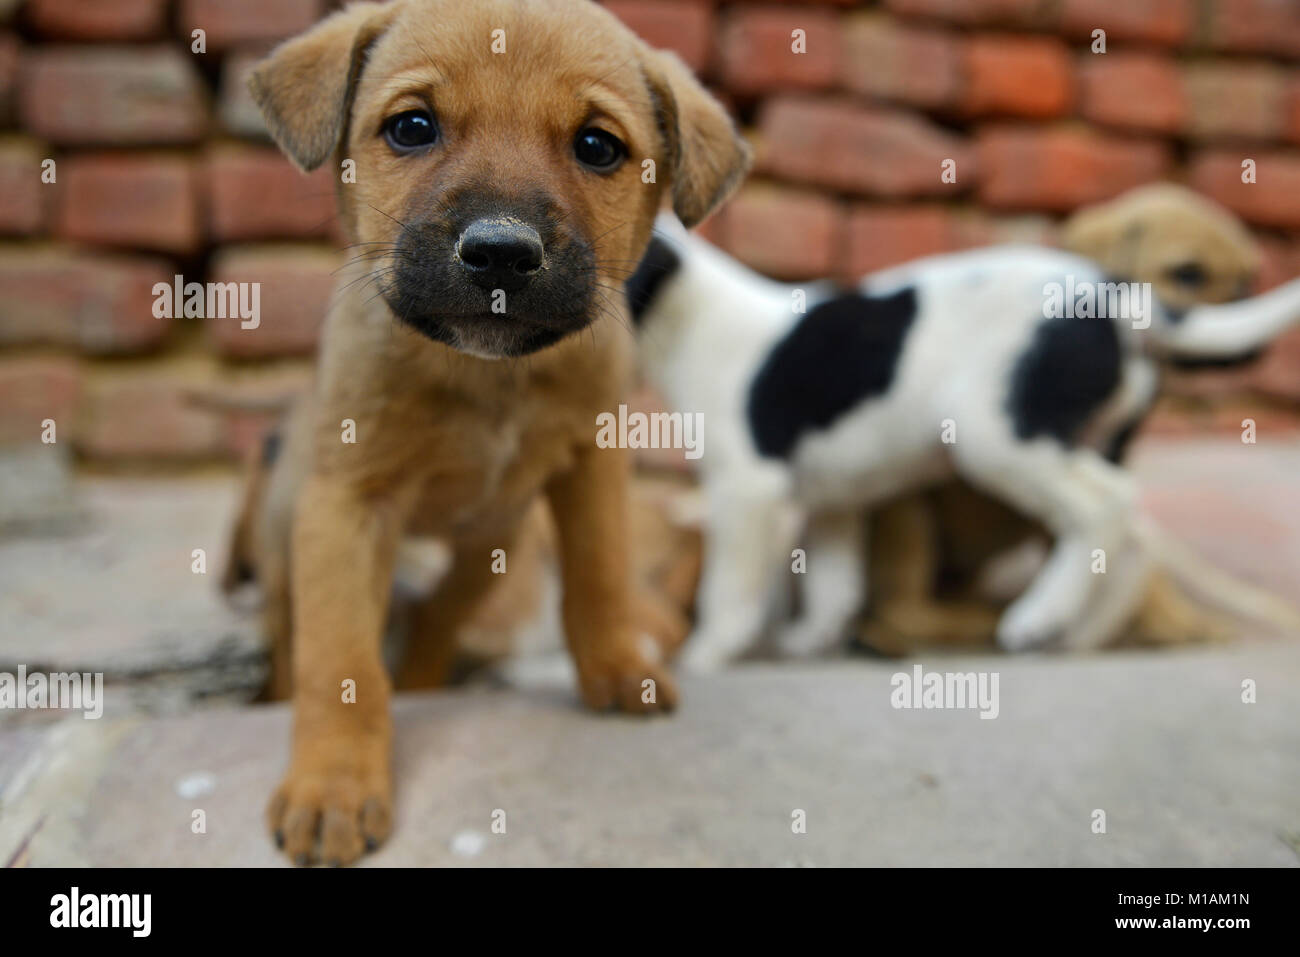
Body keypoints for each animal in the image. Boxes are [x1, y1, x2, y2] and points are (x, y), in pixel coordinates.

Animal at [246, 0, 748, 868]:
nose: (502, 253)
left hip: (493, 548)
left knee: (436, 623)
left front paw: (616, 664)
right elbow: (340, 662)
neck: (489, 376)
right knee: (289, 638)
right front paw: (333, 784)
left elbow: (600, 574)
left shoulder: (591, 463)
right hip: (284, 542)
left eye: (597, 146)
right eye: (412, 127)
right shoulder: (346, 509)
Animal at [629, 213, 1300, 670]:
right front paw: (811, 640)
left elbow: (727, 589)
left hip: (996, 436)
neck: (687, 312)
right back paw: (1077, 629)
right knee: (1124, 529)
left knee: (1104, 503)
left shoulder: (746, 488)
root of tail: (1113, 294)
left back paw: (1037, 617)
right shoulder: (835, 498)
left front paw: (704, 655)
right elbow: (832, 583)